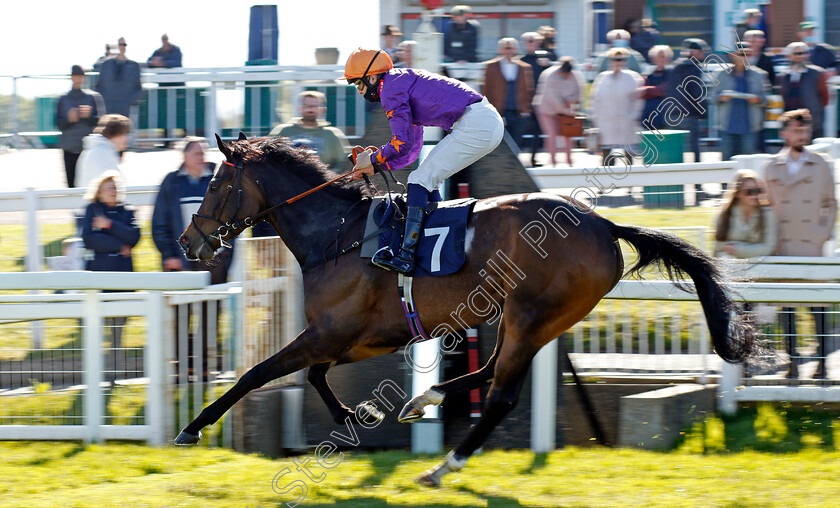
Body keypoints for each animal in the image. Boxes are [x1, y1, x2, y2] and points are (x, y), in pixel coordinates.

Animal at [172, 135, 760, 484]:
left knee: (500, 395)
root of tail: (604, 224)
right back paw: (424, 400)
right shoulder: (351, 338)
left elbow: (255, 374)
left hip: (530, 315)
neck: (335, 236)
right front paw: (361, 415)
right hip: (530, 318)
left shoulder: (331, 332)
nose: (187, 241)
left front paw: (193, 428)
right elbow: (314, 377)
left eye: (217, 183)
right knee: (488, 371)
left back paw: (442, 466)